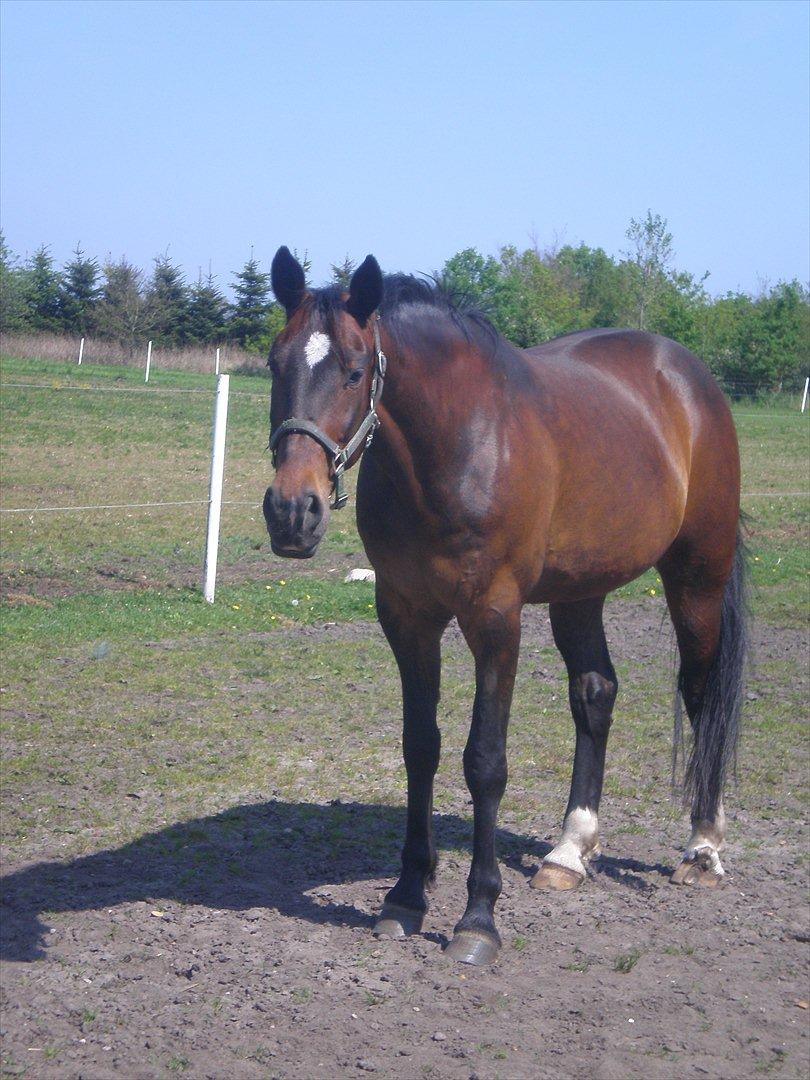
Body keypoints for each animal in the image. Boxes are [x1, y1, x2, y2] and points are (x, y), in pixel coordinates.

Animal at [263, 248, 751, 967]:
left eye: (354, 372)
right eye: (276, 363)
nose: (293, 513)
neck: (455, 444)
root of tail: (691, 378)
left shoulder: (495, 620)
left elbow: (484, 763)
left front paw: (477, 919)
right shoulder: (406, 617)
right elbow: (421, 748)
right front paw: (405, 897)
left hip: (697, 578)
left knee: (702, 693)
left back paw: (704, 849)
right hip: (581, 590)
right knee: (595, 692)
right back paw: (570, 851)